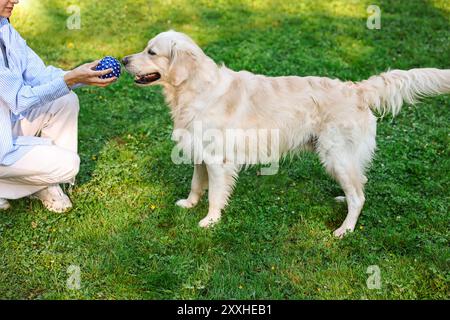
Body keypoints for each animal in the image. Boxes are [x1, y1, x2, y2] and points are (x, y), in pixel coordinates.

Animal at [123, 31, 450, 238]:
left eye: (152, 52)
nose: (124, 60)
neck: (194, 89)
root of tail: (356, 88)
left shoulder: (218, 160)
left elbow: (215, 194)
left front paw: (210, 221)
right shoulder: (199, 153)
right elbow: (195, 184)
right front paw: (189, 204)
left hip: (335, 155)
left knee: (359, 196)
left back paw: (345, 229)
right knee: (360, 186)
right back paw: (342, 201)